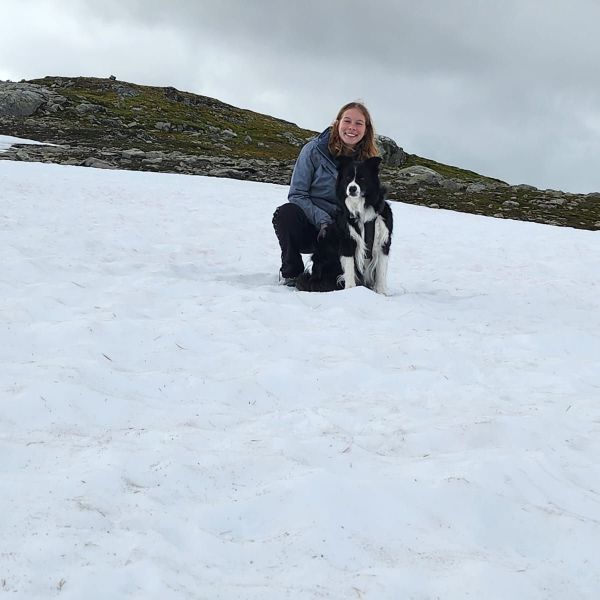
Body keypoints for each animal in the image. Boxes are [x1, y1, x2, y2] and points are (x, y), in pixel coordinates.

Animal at [296, 156, 394, 294]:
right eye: (348, 177)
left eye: (362, 178)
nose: (352, 188)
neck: (361, 208)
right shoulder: (347, 241)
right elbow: (349, 270)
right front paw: (351, 292)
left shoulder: (383, 242)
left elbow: (381, 272)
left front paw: (381, 293)